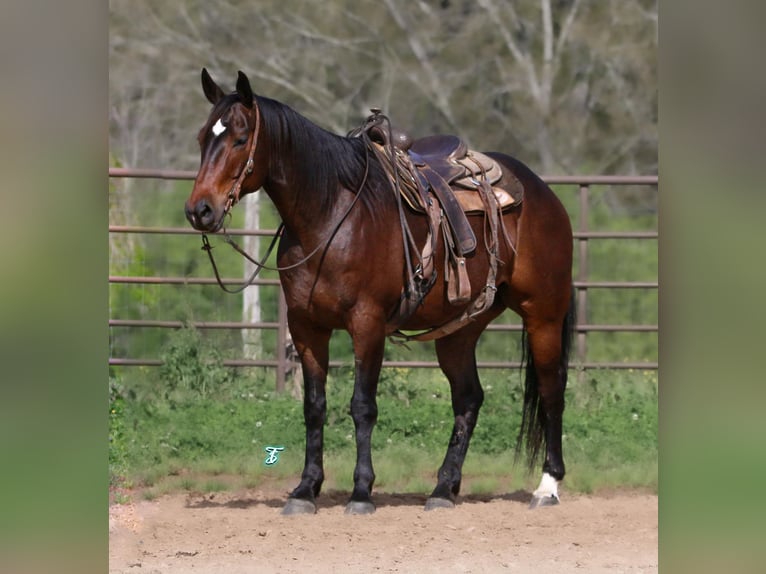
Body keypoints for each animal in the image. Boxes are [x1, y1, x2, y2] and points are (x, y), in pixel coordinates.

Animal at [183, 68, 572, 516]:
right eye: (202, 138)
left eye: (240, 138)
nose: (200, 210)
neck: (331, 215)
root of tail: (543, 192)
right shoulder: (306, 327)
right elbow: (314, 407)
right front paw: (305, 490)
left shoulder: (366, 324)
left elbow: (362, 406)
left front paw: (361, 492)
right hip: (460, 330)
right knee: (468, 399)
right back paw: (443, 489)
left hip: (543, 315)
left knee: (551, 390)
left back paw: (547, 486)